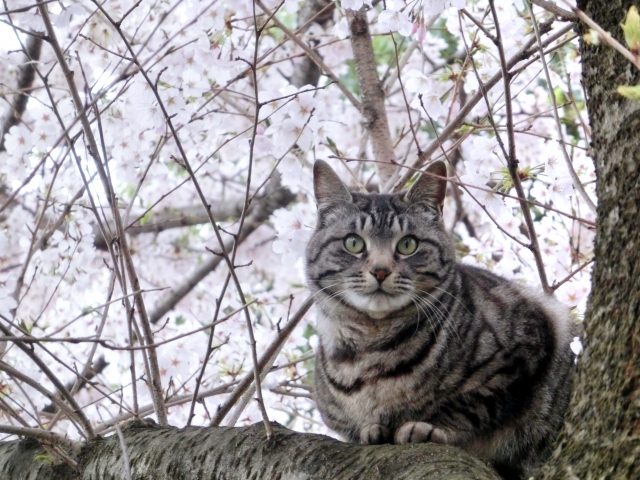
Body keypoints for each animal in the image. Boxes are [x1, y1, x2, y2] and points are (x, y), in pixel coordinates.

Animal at [304, 159, 580, 478]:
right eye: (353, 243)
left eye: (408, 245)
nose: (380, 270)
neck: (368, 346)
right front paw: (373, 429)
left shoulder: (525, 347)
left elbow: (471, 404)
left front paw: (427, 426)